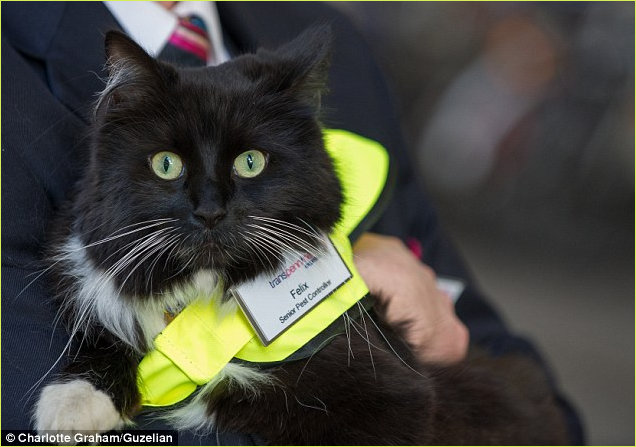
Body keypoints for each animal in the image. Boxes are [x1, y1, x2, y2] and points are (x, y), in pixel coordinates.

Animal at [33, 28, 568, 447]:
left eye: (251, 162)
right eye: (166, 165)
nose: (210, 211)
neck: (209, 292)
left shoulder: (401, 400)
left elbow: (232, 393)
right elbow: (111, 334)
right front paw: (73, 403)